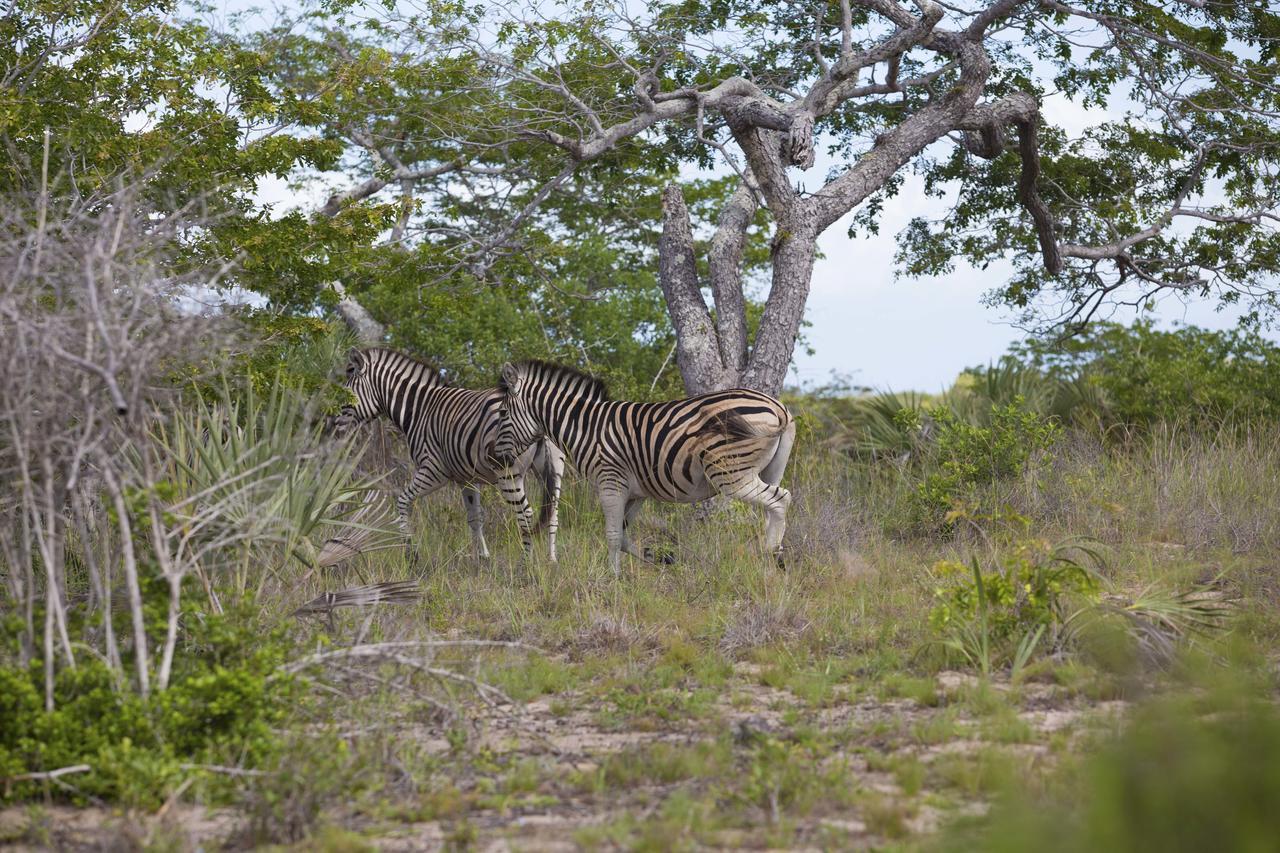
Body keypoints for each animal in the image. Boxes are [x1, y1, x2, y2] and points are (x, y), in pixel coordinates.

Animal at [337, 345, 563, 558]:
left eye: (348, 393)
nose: (336, 425)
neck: (420, 409)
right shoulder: (467, 478)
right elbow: (475, 518)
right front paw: (482, 559)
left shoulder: (434, 470)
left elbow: (402, 501)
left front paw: (411, 554)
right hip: (554, 466)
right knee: (553, 512)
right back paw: (551, 560)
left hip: (508, 471)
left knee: (526, 513)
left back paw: (527, 563)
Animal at [494, 358, 793, 571]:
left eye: (503, 413)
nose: (497, 458)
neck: (587, 428)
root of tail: (778, 408)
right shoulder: (636, 493)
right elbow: (625, 538)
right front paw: (661, 558)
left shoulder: (610, 483)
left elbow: (613, 536)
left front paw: (612, 580)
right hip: (770, 470)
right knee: (772, 508)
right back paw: (772, 556)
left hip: (730, 473)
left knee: (780, 500)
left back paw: (771, 556)